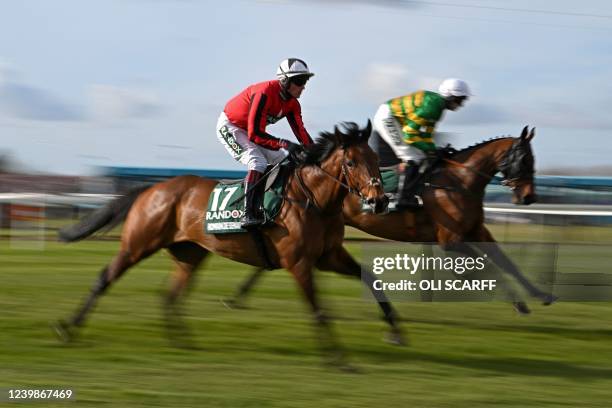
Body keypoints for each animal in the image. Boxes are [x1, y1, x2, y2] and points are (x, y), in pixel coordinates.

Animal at [52, 122, 396, 366]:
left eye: (375, 158)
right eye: (350, 162)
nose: (379, 201)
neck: (312, 199)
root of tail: (151, 189)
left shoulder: (329, 256)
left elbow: (372, 279)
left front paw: (395, 330)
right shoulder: (298, 263)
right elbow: (319, 310)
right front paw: (339, 358)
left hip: (190, 254)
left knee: (170, 293)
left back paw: (182, 342)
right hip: (138, 244)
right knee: (106, 277)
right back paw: (68, 328)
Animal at [227, 126, 556, 314]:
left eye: (533, 159)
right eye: (524, 159)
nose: (529, 197)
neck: (459, 181)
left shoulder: (476, 230)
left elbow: (506, 261)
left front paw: (539, 294)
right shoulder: (451, 240)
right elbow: (488, 265)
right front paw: (517, 301)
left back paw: (238, 296)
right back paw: (238, 295)